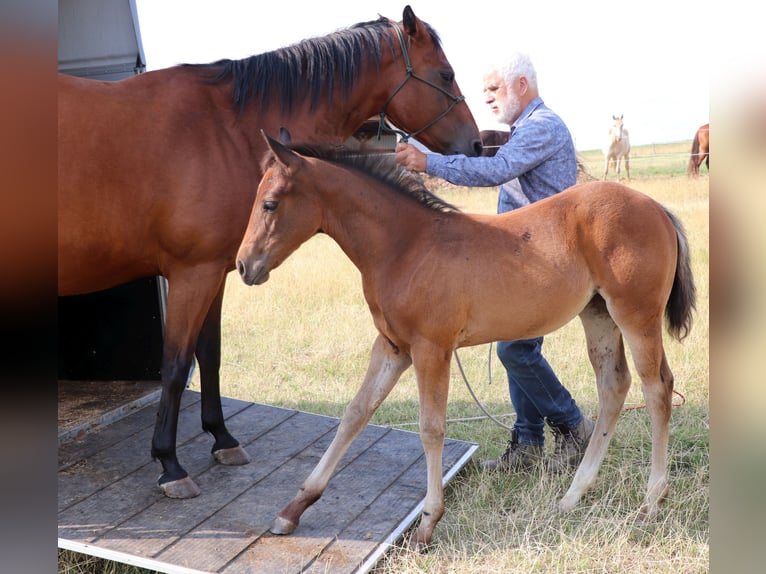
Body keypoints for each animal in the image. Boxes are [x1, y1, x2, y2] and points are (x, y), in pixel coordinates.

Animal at [58, 6, 481, 500]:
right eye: (446, 74)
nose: (477, 144)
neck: (222, 128)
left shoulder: (216, 272)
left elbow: (210, 354)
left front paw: (222, 439)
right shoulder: (191, 274)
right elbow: (177, 364)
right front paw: (169, 464)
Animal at [235, 134, 696, 550]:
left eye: (270, 203)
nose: (243, 265)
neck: (404, 247)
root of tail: (656, 207)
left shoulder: (431, 349)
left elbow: (431, 429)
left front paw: (427, 525)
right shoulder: (391, 347)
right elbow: (355, 414)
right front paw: (294, 509)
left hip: (635, 315)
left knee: (657, 389)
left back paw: (652, 501)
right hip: (598, 315)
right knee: (613, 387)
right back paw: (572, 495)